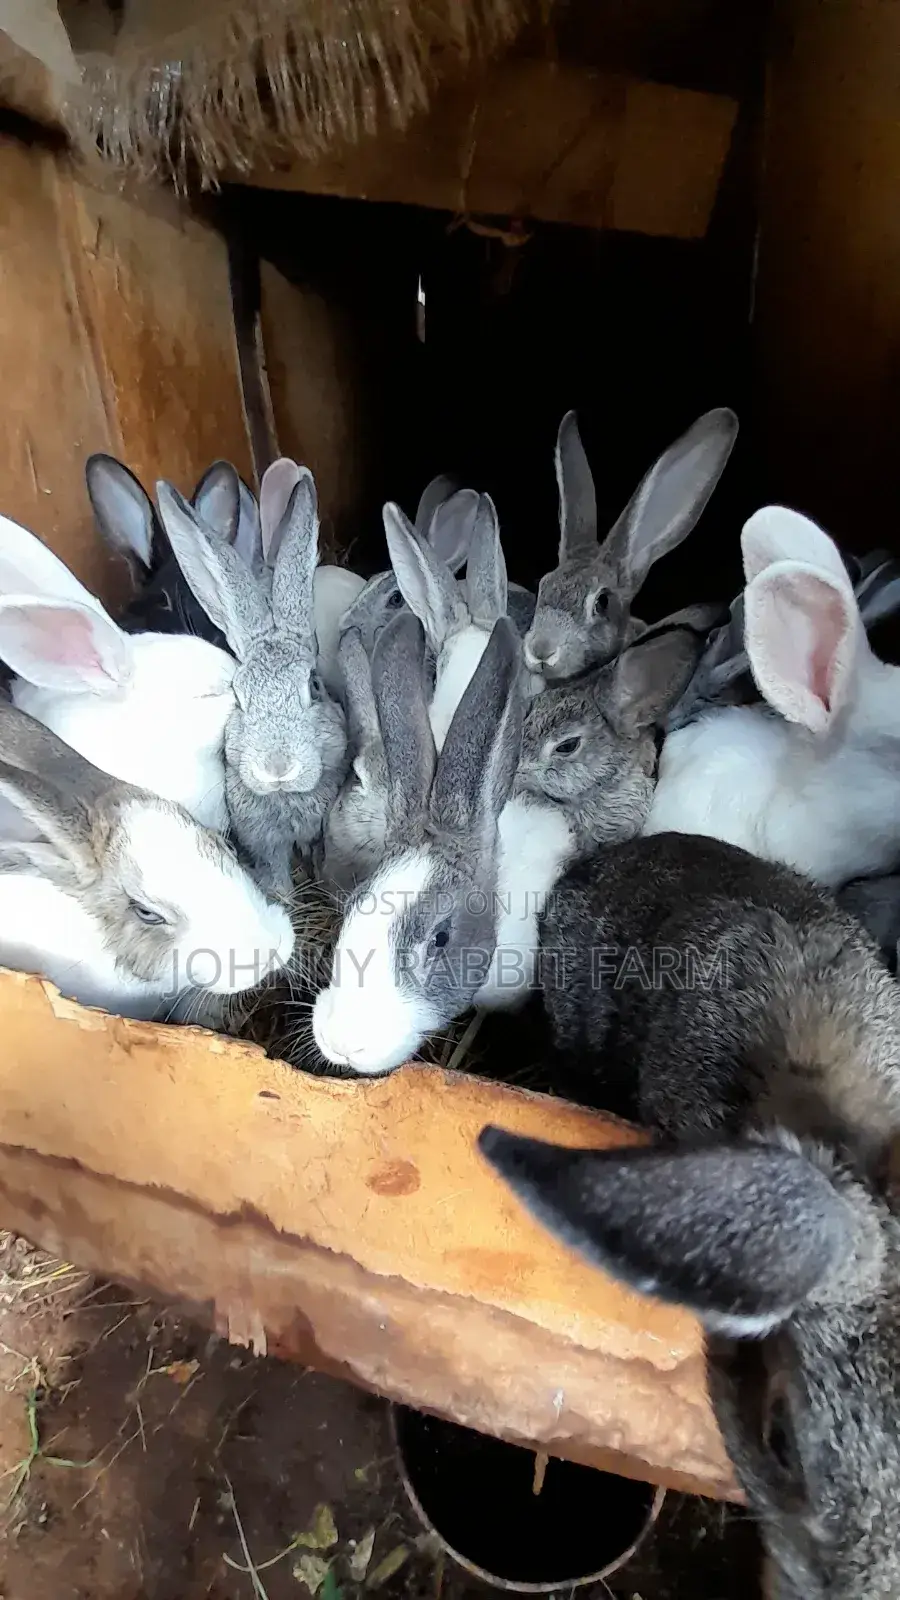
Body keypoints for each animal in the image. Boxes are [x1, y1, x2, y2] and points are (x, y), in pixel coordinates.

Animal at [155, 469, 348, 896]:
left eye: (313, 686)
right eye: (239, 698)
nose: (277, 768)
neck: (286, 798)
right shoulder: (262, 840)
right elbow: (275, 871)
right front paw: (282, 896)